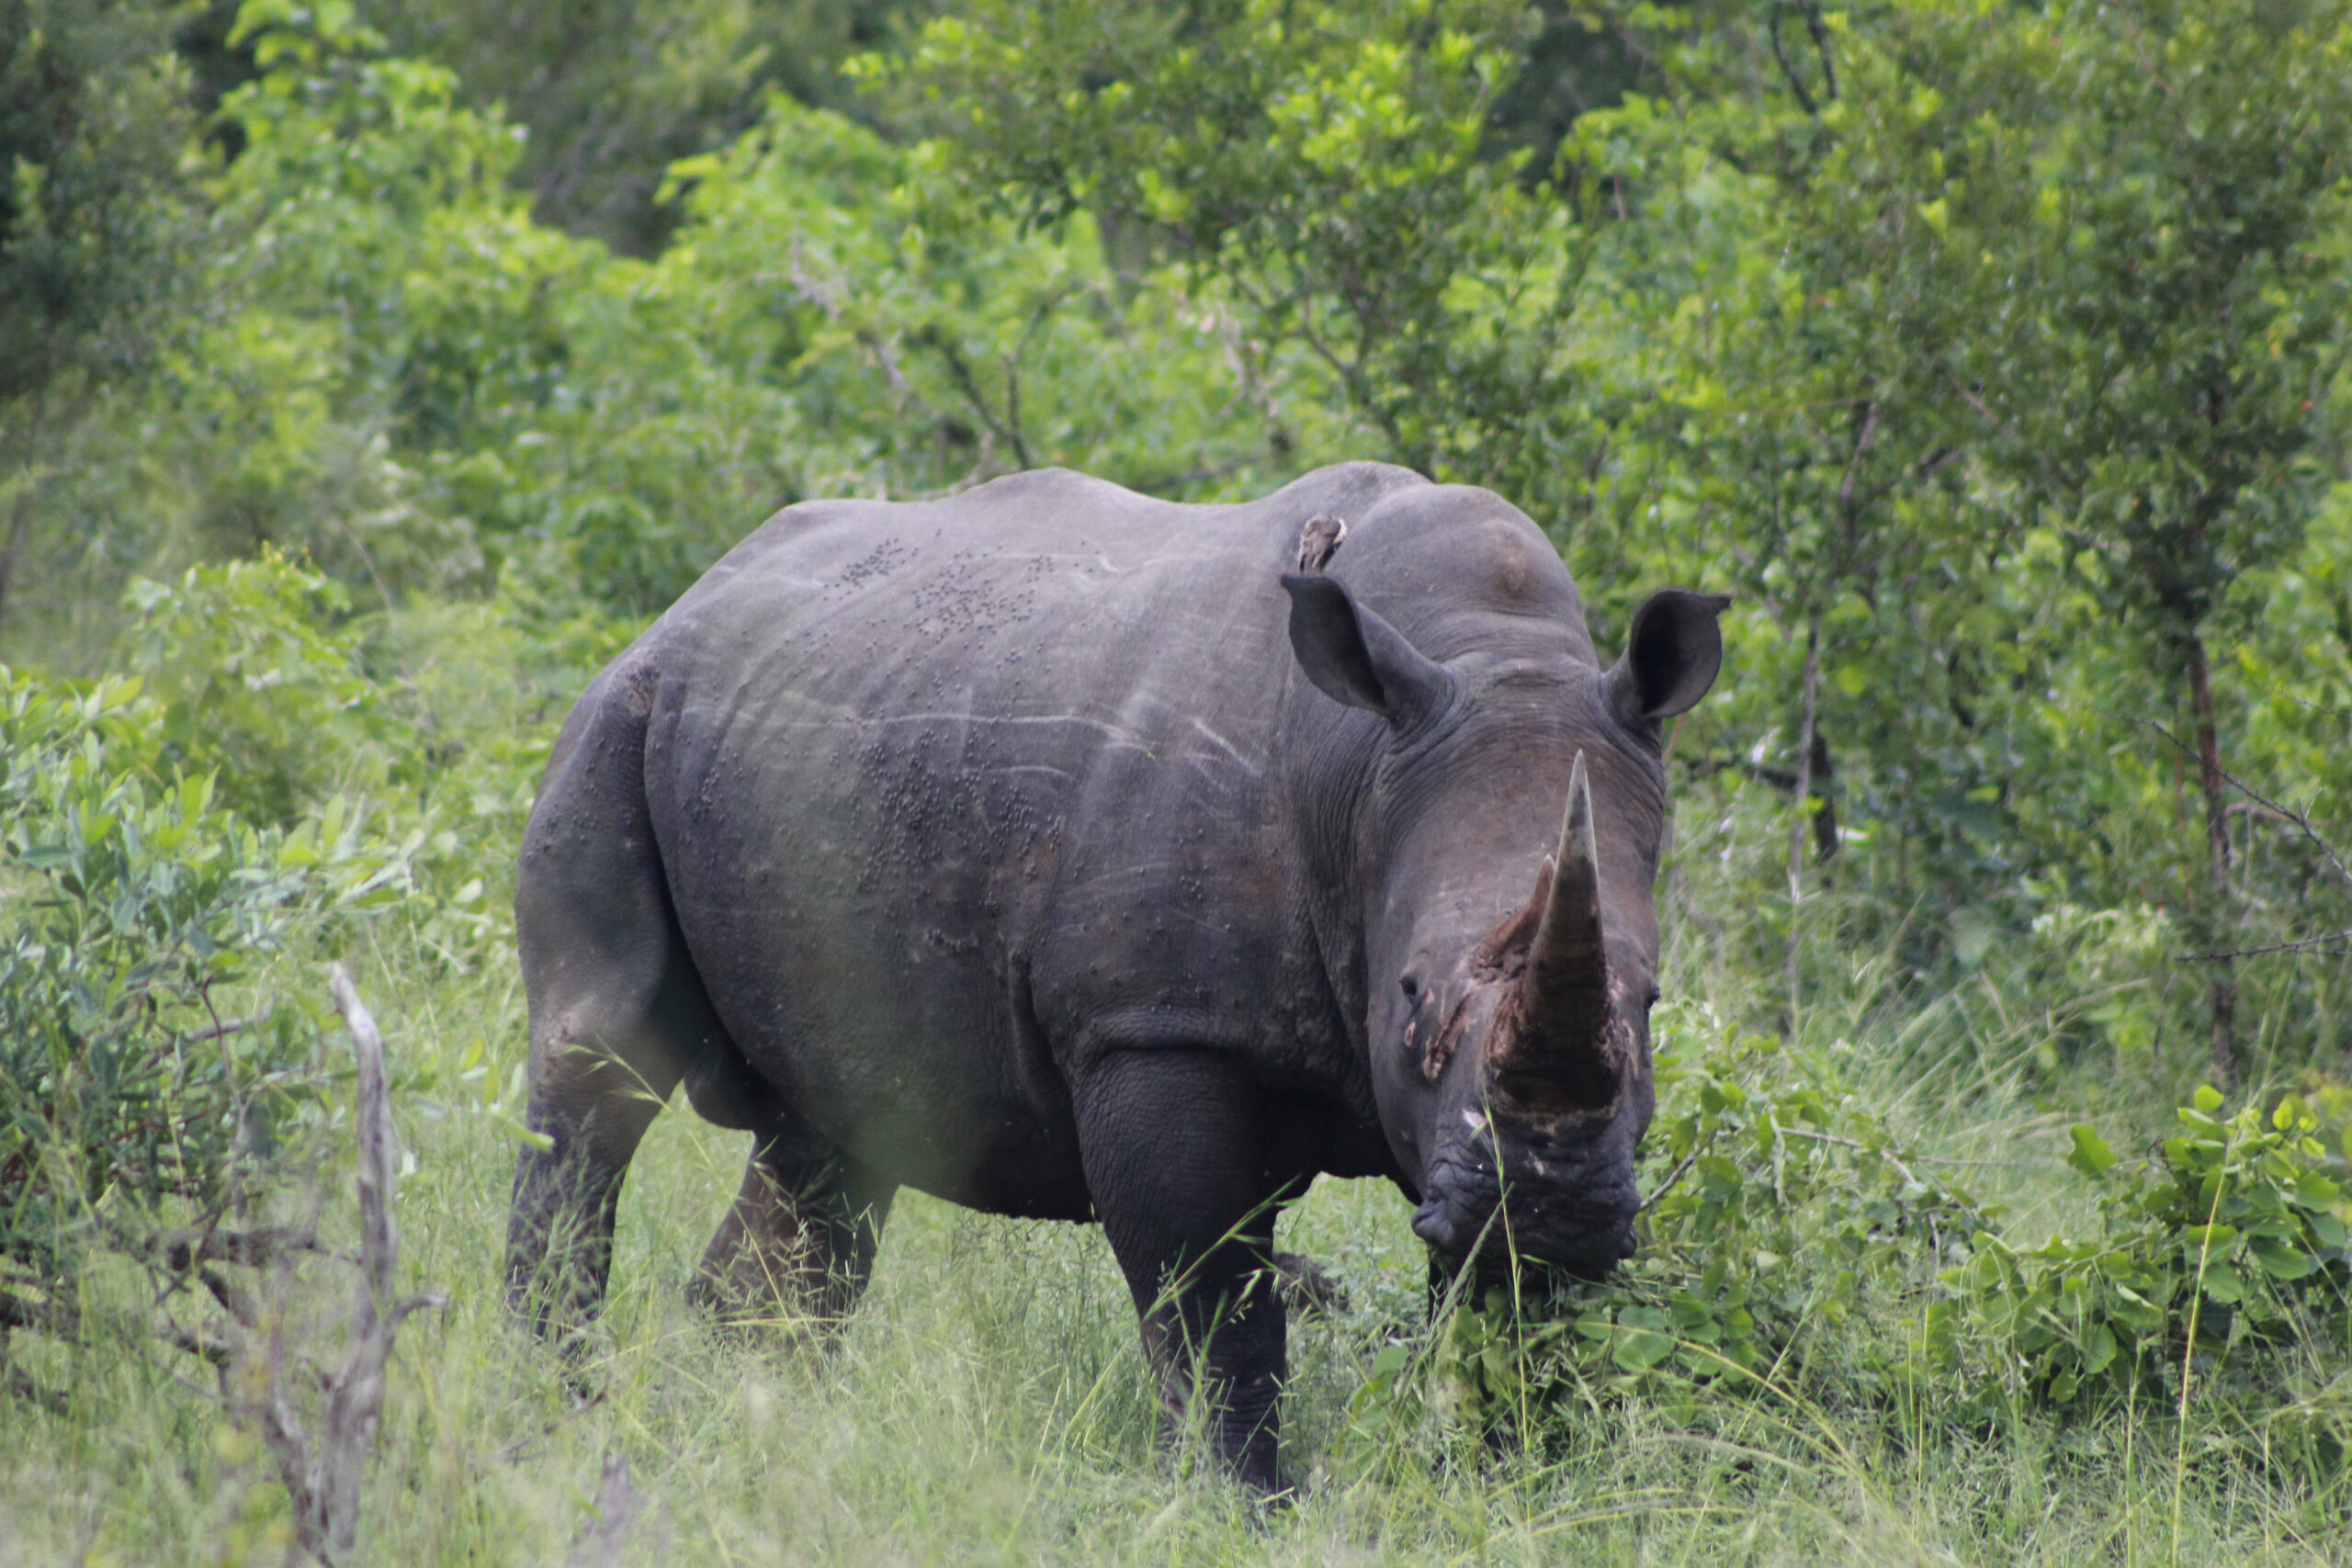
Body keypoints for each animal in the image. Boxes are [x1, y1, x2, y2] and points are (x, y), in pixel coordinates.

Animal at [504, 461, 1726, 1490]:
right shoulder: (1153, 1024)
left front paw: (1503, 1487)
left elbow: (1498, 1319)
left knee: (832, 1142)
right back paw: (561, 1421)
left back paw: (747, 1433)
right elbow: (1211, 1301)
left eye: (1648, 1004)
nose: (1553, 1201)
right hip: (620, 715)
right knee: (600, 1069)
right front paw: (1243, 1505)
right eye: (1412, 993)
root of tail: (694, 594)